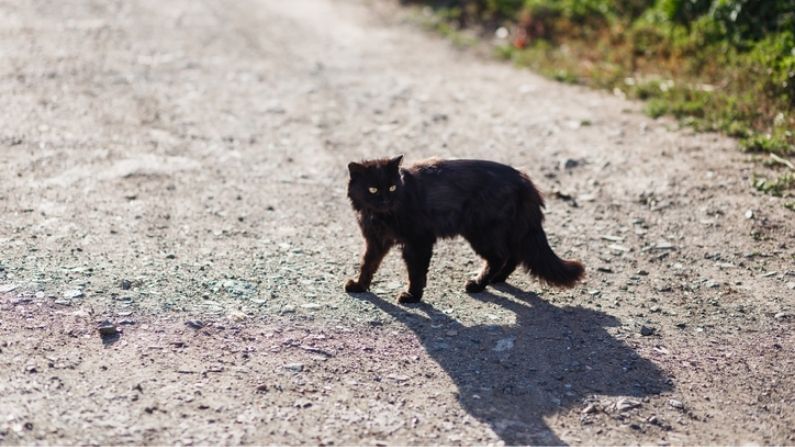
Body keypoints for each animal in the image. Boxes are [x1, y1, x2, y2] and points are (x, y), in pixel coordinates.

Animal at [344, 157, 584, 304]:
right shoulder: (376, 241)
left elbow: (416, 272)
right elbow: (368, 265)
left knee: (500, 256)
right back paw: (496, 279)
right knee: (514, 255)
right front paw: (359, 285)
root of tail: (523, 179)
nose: (386, 199)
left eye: (392, 187)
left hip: (482, 232)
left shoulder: (418, 241)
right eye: (373, 189)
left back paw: (477, 284)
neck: (381, 216)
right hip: (506, 231)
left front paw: (412, 296)